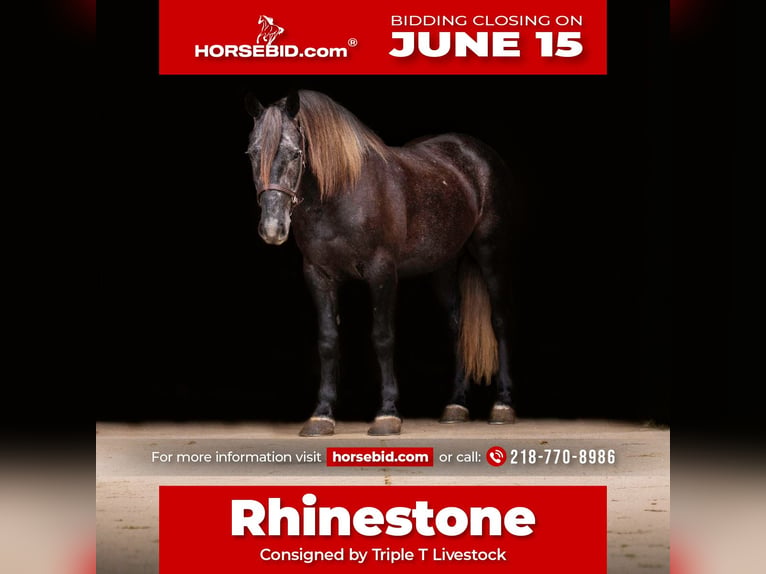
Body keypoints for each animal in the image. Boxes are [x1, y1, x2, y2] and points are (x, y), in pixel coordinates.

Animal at [245, 89, 517, 436]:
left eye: (295, 153)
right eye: (252, 153)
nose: (272, 228)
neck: (343, 194)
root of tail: (478, 154)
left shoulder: (382, 273)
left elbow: (383, 337)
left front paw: (387, 414)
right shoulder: (318, 276)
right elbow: (328, 342)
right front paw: (321, 415)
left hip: (491, 253)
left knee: (500, 321)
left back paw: (503, 405)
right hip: (444, 266)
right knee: (456, 325)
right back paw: (456, 406)